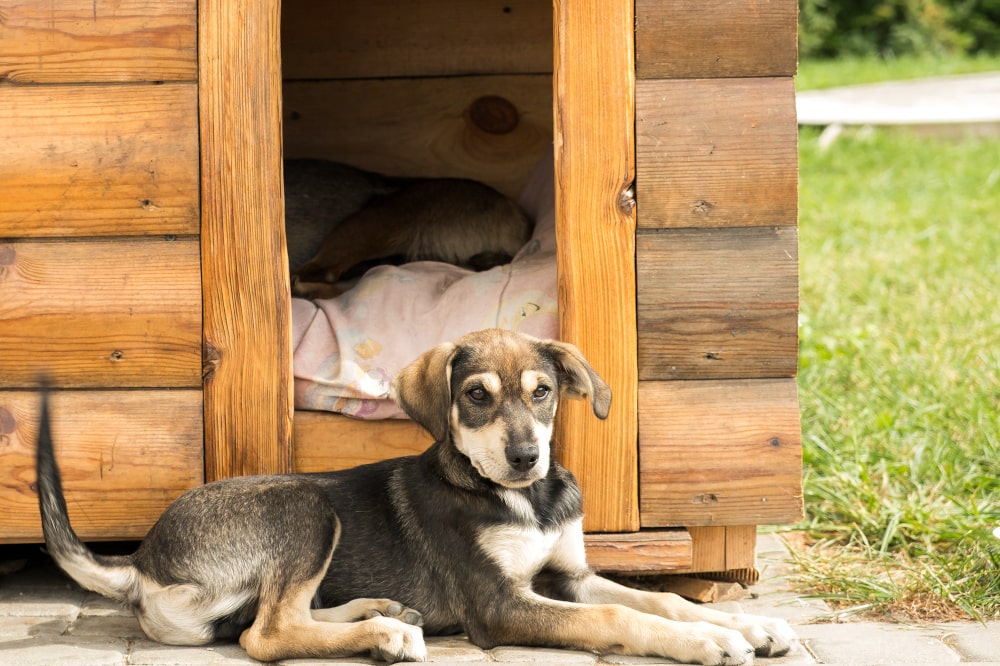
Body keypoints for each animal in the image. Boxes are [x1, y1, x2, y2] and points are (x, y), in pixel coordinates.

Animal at [35, 328, 792, 664]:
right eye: (476, 396)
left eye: (543, 393)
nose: (526, 458)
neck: (525, 502)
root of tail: (141, 563)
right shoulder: (500, 605)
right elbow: (619, 617)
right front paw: (705, 642)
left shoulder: (567, 574)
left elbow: (662, 597)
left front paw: (742, 624)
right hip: (306, 509)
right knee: (266, 634)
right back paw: (387, 633)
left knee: (281, 618)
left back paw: (384, 612)